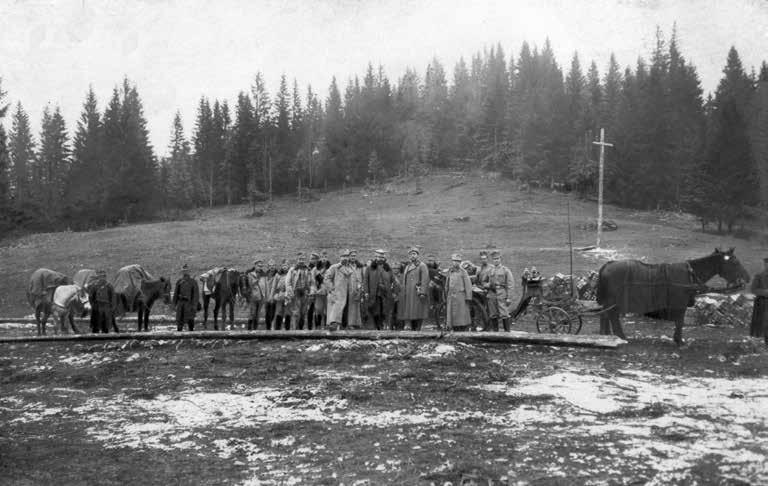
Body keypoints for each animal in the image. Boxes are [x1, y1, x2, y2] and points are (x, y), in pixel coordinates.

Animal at [592, 249, 752, 348]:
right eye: (735, 262)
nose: (747, 278)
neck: (691, 275)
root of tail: (607, 265)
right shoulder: (680, 304)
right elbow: (680, 321)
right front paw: (679, 341)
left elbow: (679, 322)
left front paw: (677, 339)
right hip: (614, 302)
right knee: (612, 317)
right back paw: (620, 336)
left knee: (605, 316)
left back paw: (607, 336)